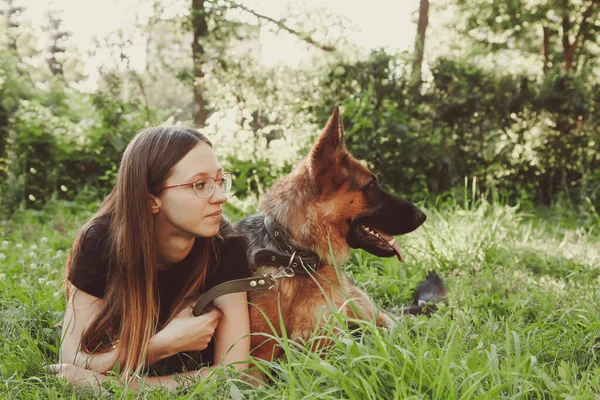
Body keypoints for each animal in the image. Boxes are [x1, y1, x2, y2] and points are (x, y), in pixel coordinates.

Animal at [234, 106, 446, 362]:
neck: (294, 257)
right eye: (371, 186)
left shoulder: (327, 349)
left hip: (363, 312)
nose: (422, 215)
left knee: (392, 326)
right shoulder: (254, 359)